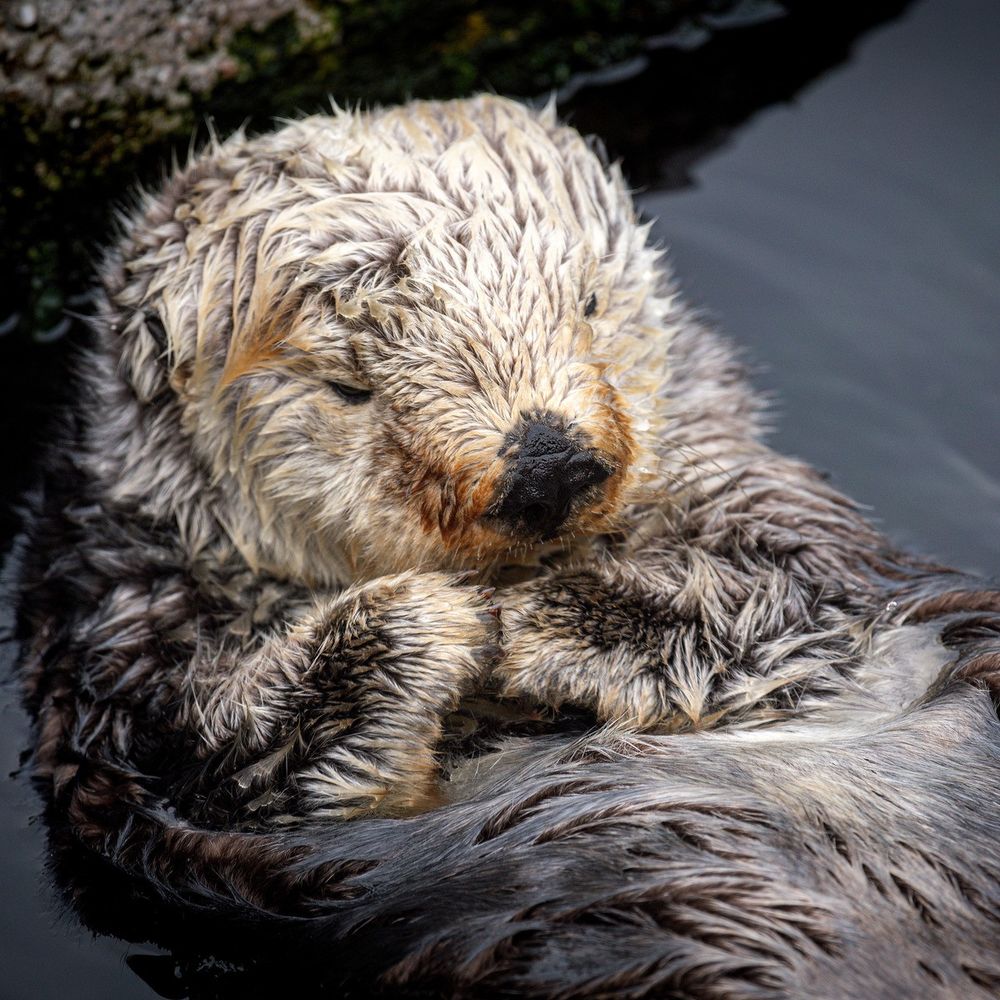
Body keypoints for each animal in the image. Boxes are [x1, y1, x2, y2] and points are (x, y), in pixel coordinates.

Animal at [17, 95, 1000, 997]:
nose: (547, 462)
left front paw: (543, 617)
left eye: (590, 303)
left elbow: (786, 596)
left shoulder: (786, 522)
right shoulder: (124, 689)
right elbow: (230, 762)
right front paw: (429, 620)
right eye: (345, 386)